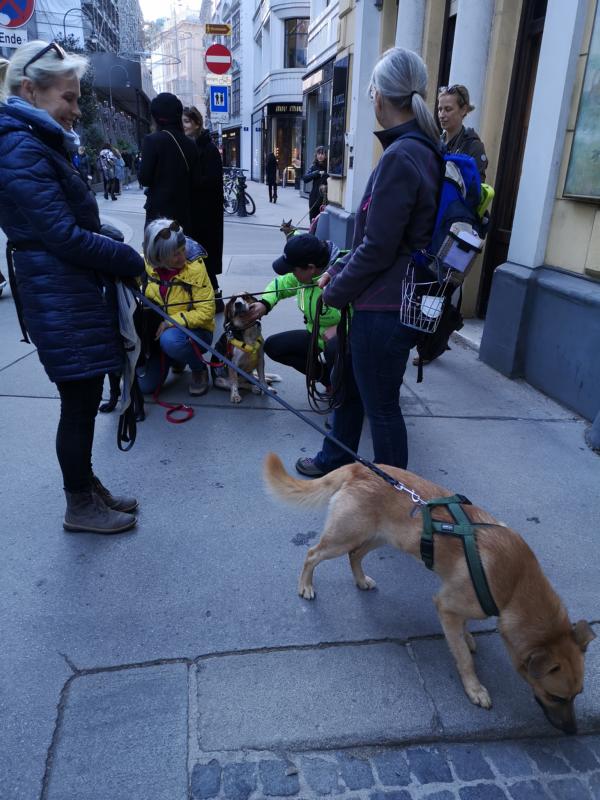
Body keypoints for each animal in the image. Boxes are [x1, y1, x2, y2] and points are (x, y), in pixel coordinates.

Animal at [263, 454, 596, 734]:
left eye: (577, 694)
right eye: (556, 696)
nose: (573, 732)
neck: (516, 585)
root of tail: (358, 467)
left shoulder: (462, 602)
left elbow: (464, 629)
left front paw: (468, 636)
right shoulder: (446, 605)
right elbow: (463, 657)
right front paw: (474, 687)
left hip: (380, 538)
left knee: (354, 556)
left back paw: (360, 580)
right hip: (344, 537)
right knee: (312, 554)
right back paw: (306, 585)